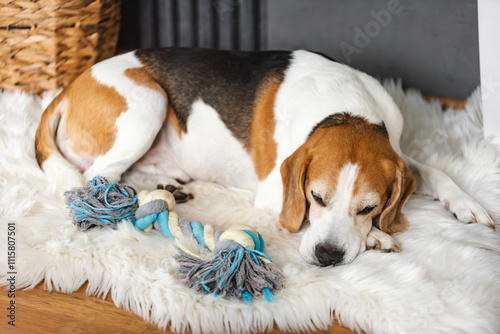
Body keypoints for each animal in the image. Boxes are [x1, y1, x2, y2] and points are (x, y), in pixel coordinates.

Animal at [35, 47, 496, 266]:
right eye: (316, 197)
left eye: (369, 207)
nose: (327, 257)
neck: (348, 111)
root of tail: (70, 86)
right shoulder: (276, 193)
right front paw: (379, 237)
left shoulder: (397, 151)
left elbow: (432, 170)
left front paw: (466, 204)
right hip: (148, 101)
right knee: (96, 181)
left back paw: (163, 188)